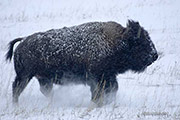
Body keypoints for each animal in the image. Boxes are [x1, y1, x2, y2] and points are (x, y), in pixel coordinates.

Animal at [5, 19, 158, 106]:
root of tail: (22, 41)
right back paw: (16, 106)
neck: (117, 41)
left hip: (42, 78)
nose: (155, 55)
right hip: (25, 76)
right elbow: (98, 92)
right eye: (141, 42)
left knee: (45, 91)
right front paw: (98, 103)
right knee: (16, 89)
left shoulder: (109, 76)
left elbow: (113, 89)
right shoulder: (97, 78)